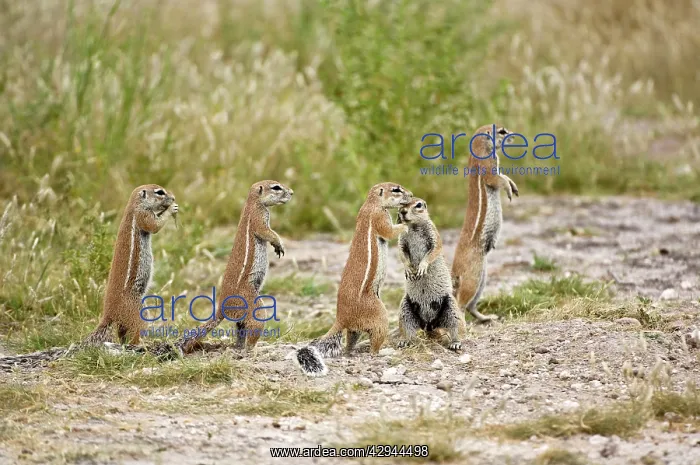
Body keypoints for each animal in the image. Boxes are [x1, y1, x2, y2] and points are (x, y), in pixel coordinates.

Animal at [84, 184, 178, 345]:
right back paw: (143, 343)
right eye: (159, 192)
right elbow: (155, 225)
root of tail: (109, 314)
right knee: (134, 334)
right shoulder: (143, 216)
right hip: (138, 311)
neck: (134, 206)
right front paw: (171, 208)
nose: (173, 198)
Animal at [179, 180, 293, 354]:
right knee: (252, 330)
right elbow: (268, 232)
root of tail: (221, 309)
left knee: (240, 330)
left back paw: (238, 347)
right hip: (254, 307)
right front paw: (279, 244)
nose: (292, 193)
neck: (252, 203)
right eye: (276, 187)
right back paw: (255, 349)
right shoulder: (259, 218)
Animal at [295, 182, 413, 376]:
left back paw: (353, 350)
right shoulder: (379, 217)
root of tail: (341, 318)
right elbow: (389, 232)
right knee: (374, 343)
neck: (371, 204)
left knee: (349, 343)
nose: (411, 195)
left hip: (354, 329)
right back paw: (381, 352)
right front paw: (405, 225)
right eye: (396, 189)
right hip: (379, 316)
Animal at [396, 198, 466, 350]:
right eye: (401, 204)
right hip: (405, 310)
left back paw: (456, 343)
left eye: (418, 205)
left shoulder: (433, 234)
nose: (403, 212)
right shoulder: (401, 239)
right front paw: (408, 269)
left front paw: (422, 267)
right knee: (407, 329)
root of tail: (429, 324)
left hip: (451, 308)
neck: (414, 226)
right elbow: (401, 253)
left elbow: (434, 249)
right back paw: (403, 341)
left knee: (456, 328)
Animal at [452, 124, 519, 323]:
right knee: (460, 303)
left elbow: (505, 176)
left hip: (483, 278)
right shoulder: (488, 167)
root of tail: (454, 274)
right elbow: (497, 179)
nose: (514, 135)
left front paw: (514, 187)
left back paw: (488, 317)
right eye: (502, 131)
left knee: (471, 306)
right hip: (473, 277)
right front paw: (509, 190)